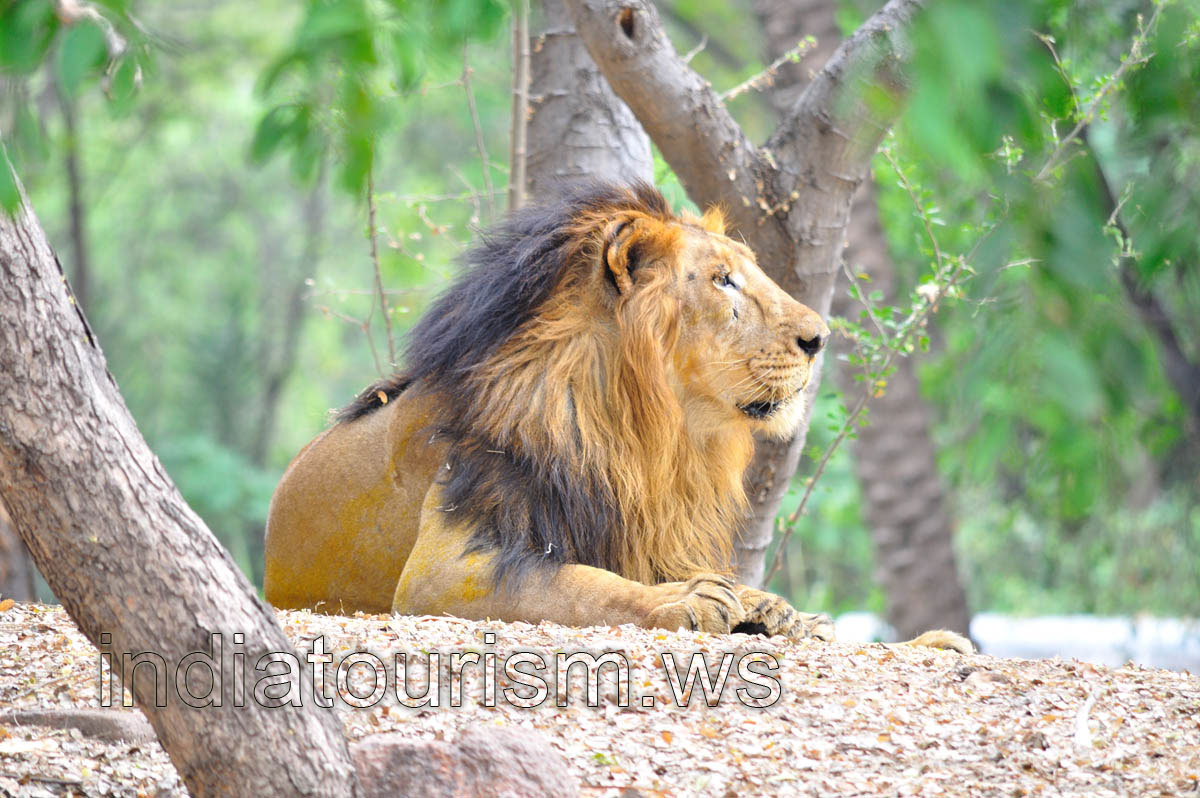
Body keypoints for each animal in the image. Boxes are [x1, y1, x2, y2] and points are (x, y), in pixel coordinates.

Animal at [263, 181, 970, 653]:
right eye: (723, 280)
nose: (819, 338)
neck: (647, 440)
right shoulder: (441, 572)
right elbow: (579, 586)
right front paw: (691, 599)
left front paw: (783, 612)